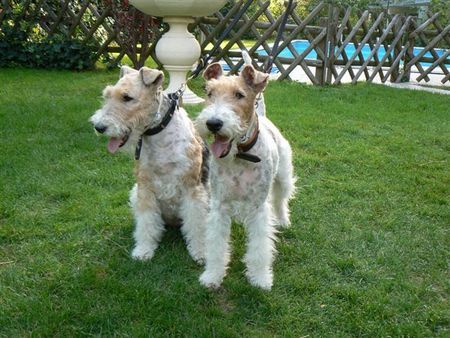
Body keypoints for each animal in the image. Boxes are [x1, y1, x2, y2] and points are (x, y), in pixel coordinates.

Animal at [90, 65, 209, 262]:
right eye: (107, 95)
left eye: (127, 97)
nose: (99, 127)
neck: (158, 133)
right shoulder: (145, 187)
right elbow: (146, 222)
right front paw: (143, 250)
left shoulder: (191, 188)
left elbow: (197, 224)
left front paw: (200, 252)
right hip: (134, 193)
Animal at [196, 62, 296, 290]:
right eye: (209, 93)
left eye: (239, 95)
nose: (213, 123)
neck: (239, 156)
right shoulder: (219, 206)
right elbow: (216, 246)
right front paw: (212, 276)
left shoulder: (258, 208)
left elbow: (259, 249)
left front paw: (260, 278)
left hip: (283, 178)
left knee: (281, 201)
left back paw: (283, 221)